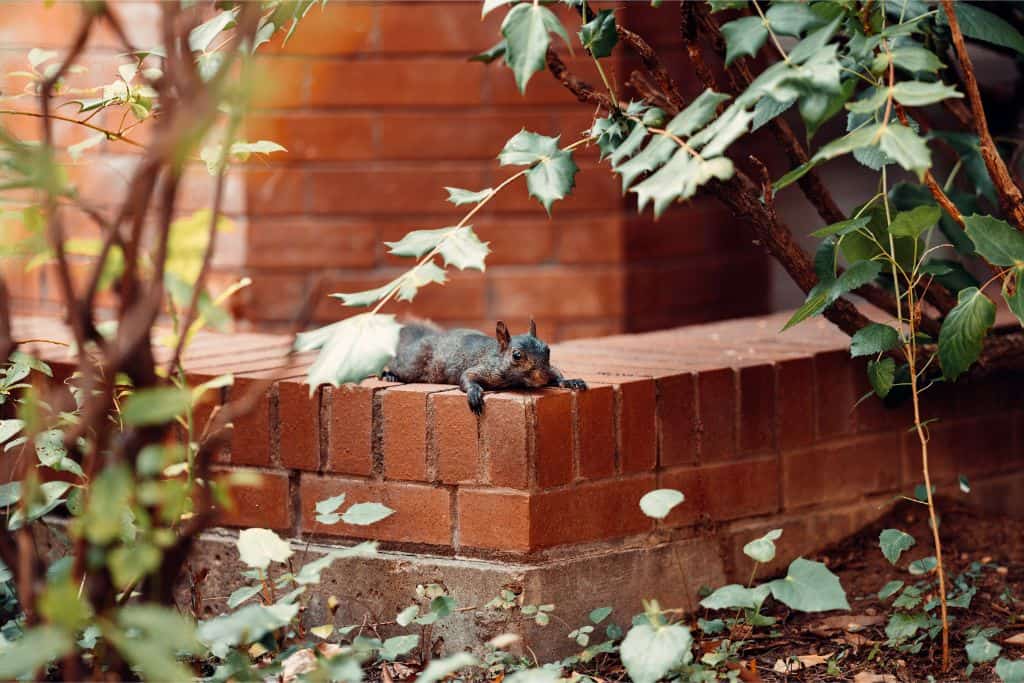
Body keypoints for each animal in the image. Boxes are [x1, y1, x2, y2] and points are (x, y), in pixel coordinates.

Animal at [380, 319, 589, 413]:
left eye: (548, 350)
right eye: (517, 355)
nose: (542, 377)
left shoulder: (551, 369)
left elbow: (557, 373)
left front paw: (571, 381)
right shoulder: (483, 368)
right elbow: (466, 377)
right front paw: (474, 393)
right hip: (412, 365)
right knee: (397, 364)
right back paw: (388, 375)